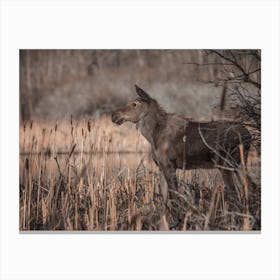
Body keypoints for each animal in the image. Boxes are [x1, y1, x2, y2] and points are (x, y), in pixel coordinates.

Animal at [111, 85, 252, 203]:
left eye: (134, 104)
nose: (114, 115)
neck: (151, 135)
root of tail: (248, 136)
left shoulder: (169, 164)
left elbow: (174, 195)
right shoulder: (161, 166)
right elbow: (165, 198)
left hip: (227, 164)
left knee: (236, 192)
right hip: (239, 165)